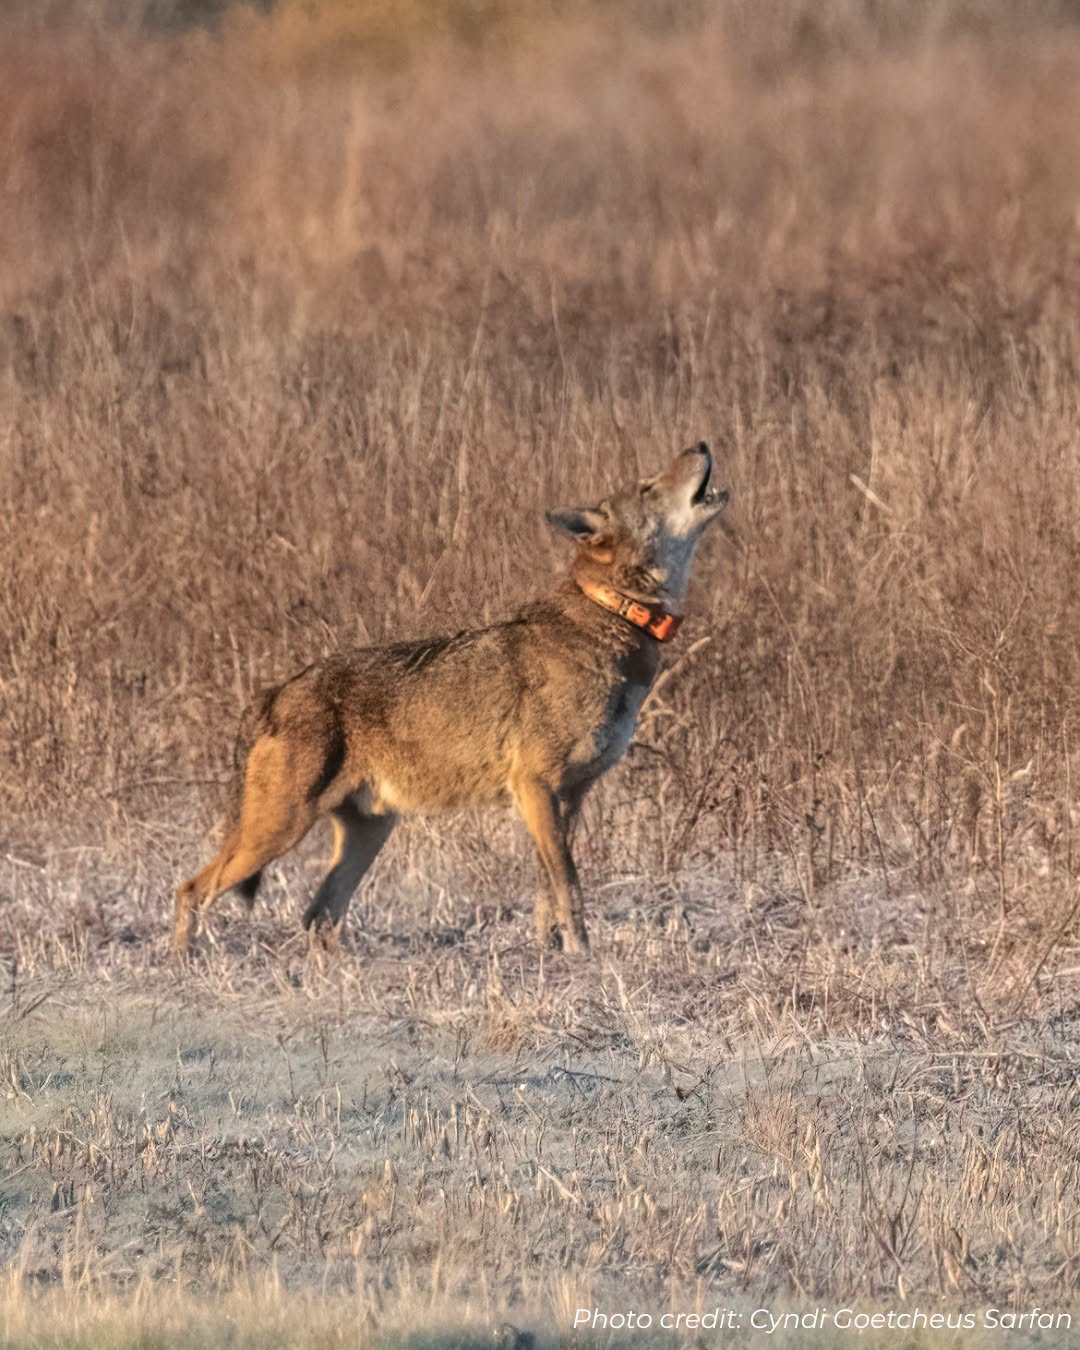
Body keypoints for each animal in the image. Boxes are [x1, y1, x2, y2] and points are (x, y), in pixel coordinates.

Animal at [173, 442, 728, 956]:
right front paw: (582, 954)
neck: (614, 616)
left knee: (319, 913)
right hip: (277, 830)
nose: (701, 444)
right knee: (192, 890)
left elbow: (547, 892)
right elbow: (568, 886)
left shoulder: (567, 797)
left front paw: (551, 954)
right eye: (648, 487)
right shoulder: (536, 786)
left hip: (367, 833)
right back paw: (186, 963)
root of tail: (274, 692)